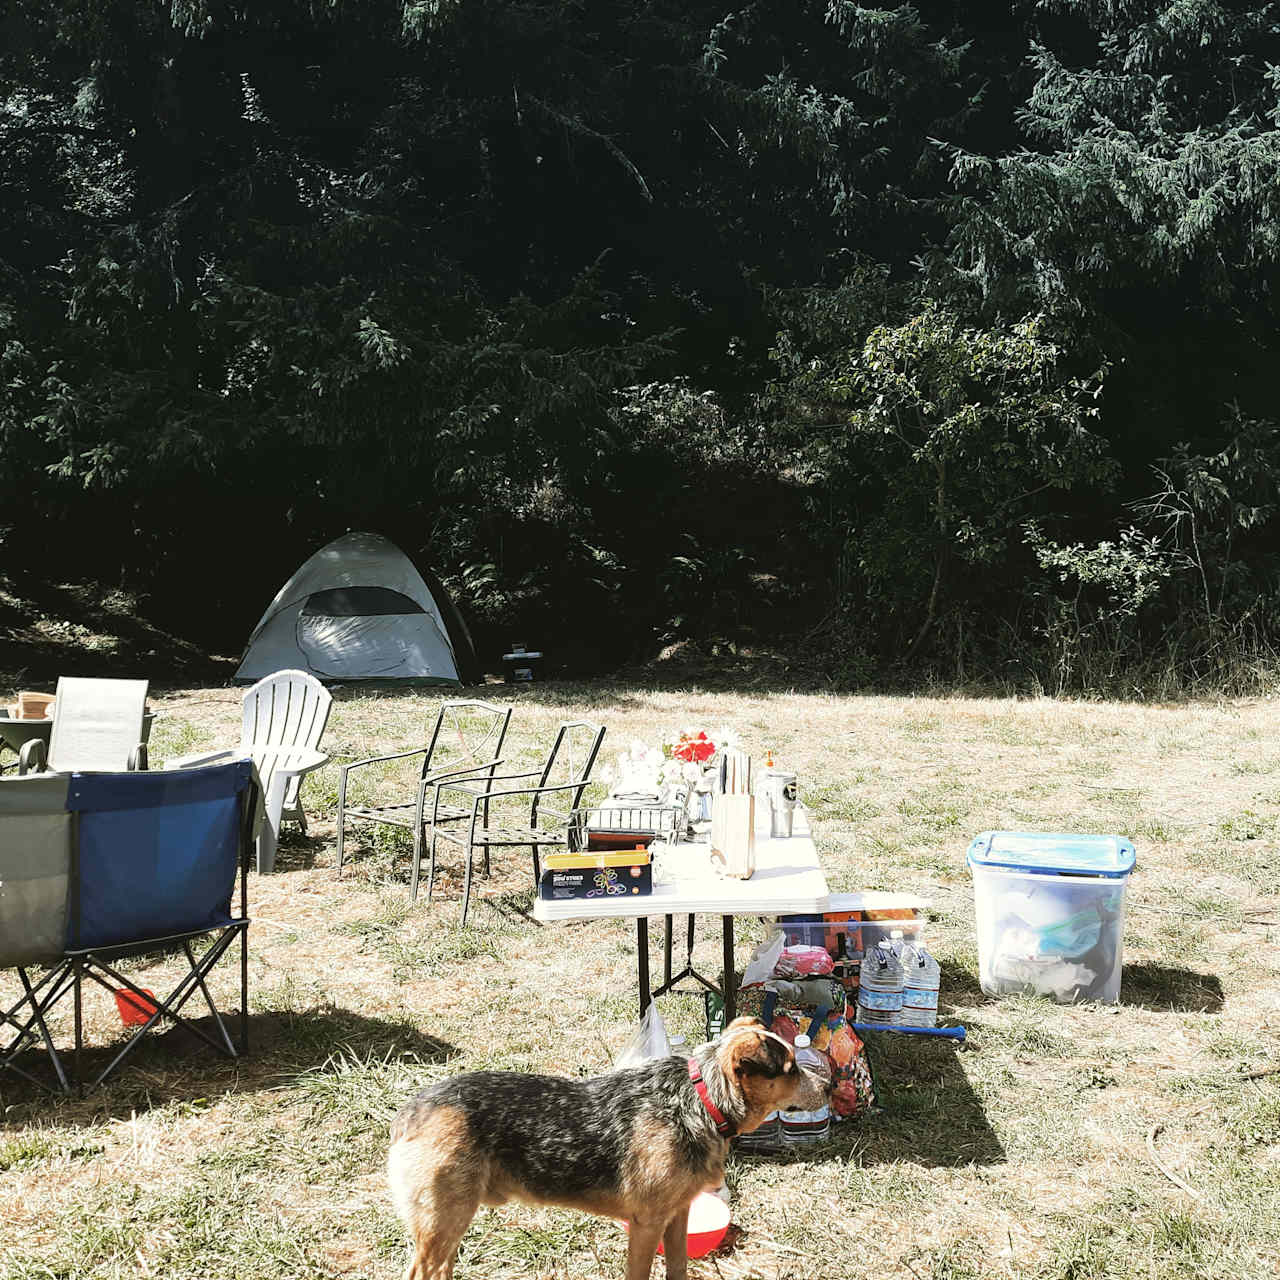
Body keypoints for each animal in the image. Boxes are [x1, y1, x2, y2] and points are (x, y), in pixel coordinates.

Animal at [386, 1018, 829, 1280]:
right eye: (790, 1068)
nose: (828, 1086)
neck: (699, 1101)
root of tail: (410, 1111)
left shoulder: (677, 1215)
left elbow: (679, 1268)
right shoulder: (647, 1224)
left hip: (451, 1223)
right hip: (442, 1222)